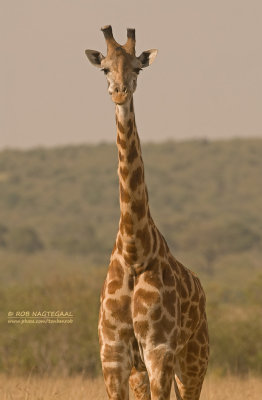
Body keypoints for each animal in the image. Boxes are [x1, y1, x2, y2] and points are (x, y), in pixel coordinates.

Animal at [85, 25, 209, 400]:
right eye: (104, 69)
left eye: (138, 68)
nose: (119, 93)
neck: (134, 250)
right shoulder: (113, 356)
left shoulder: (159, 351)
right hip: (143, 370)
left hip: (194, 360)